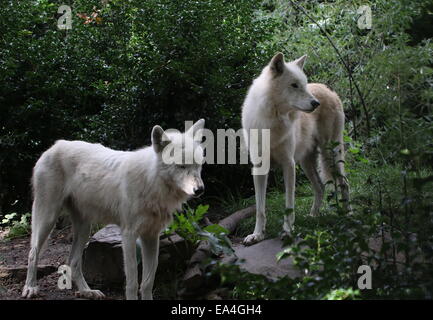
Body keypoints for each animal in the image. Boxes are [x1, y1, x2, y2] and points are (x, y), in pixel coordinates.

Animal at [22, 119, 206, 300]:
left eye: (198, 165)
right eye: (181, 166)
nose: (200, 190)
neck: (151, 183)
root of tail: (55, 145)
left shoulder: (151, 236)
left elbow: (147, 283)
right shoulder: (129, 235)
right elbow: (132, 283)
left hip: (84, 228)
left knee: (72, 261)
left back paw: (87, 291)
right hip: (48, 218)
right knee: (32, 253)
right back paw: (30, 287)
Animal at [241, 52, 350, 245]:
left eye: (304, 84)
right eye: (294, 85)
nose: (316, 103)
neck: (272, 120)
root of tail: (329, 90)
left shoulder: (288, 165)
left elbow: (289, 205)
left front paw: (287, 231)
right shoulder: (260, 168)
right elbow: (260, 209)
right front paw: (257, 235)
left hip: (330, 155)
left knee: (344, 182)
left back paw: (348, 215)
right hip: (306, 163)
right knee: (320, 187)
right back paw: (313, 216)